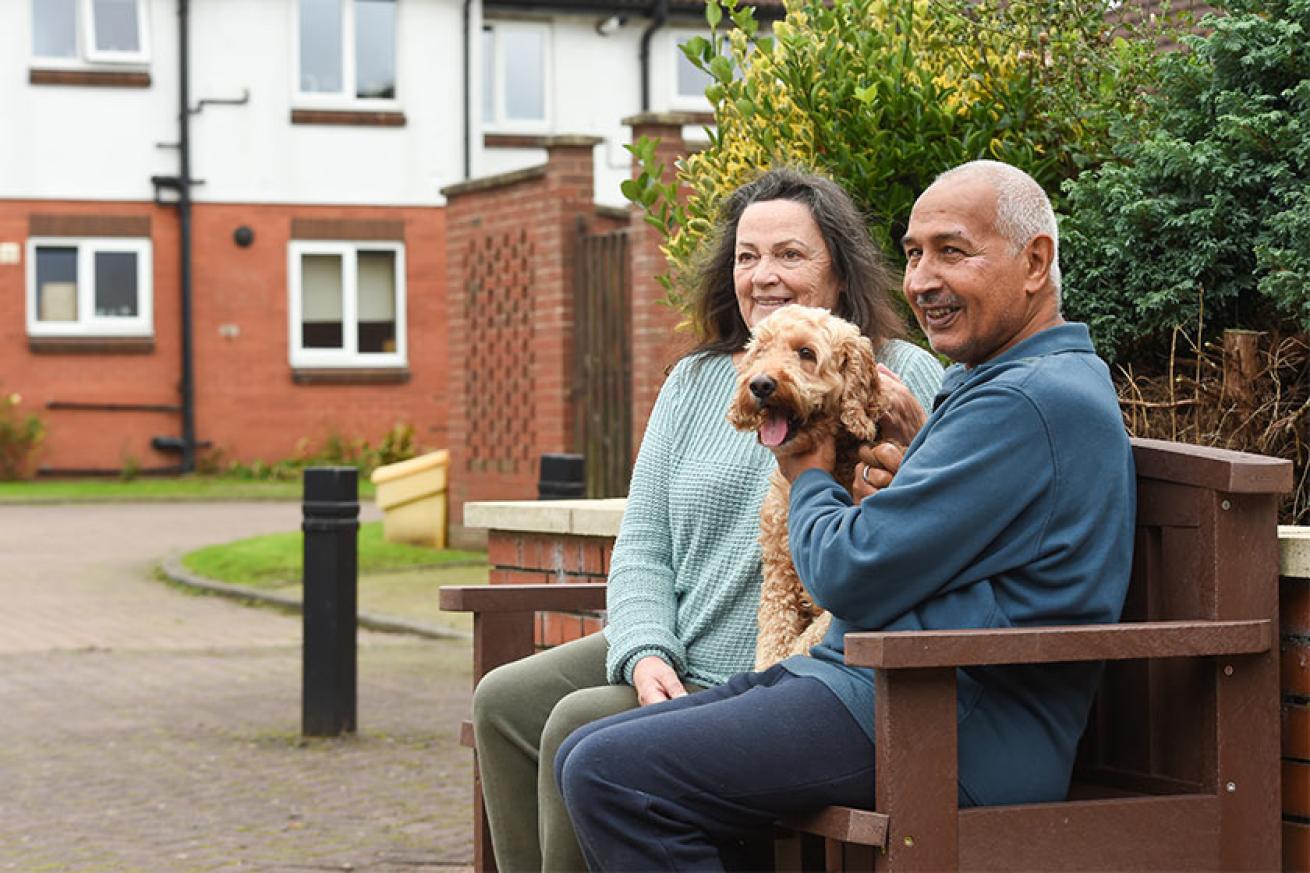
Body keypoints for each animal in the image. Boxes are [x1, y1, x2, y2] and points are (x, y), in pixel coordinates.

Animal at [723, 302, 885, 668]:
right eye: (761, 351)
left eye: (806, 353)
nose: (760, 384)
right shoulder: (778, 575)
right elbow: (773, 637)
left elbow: (804, 644)